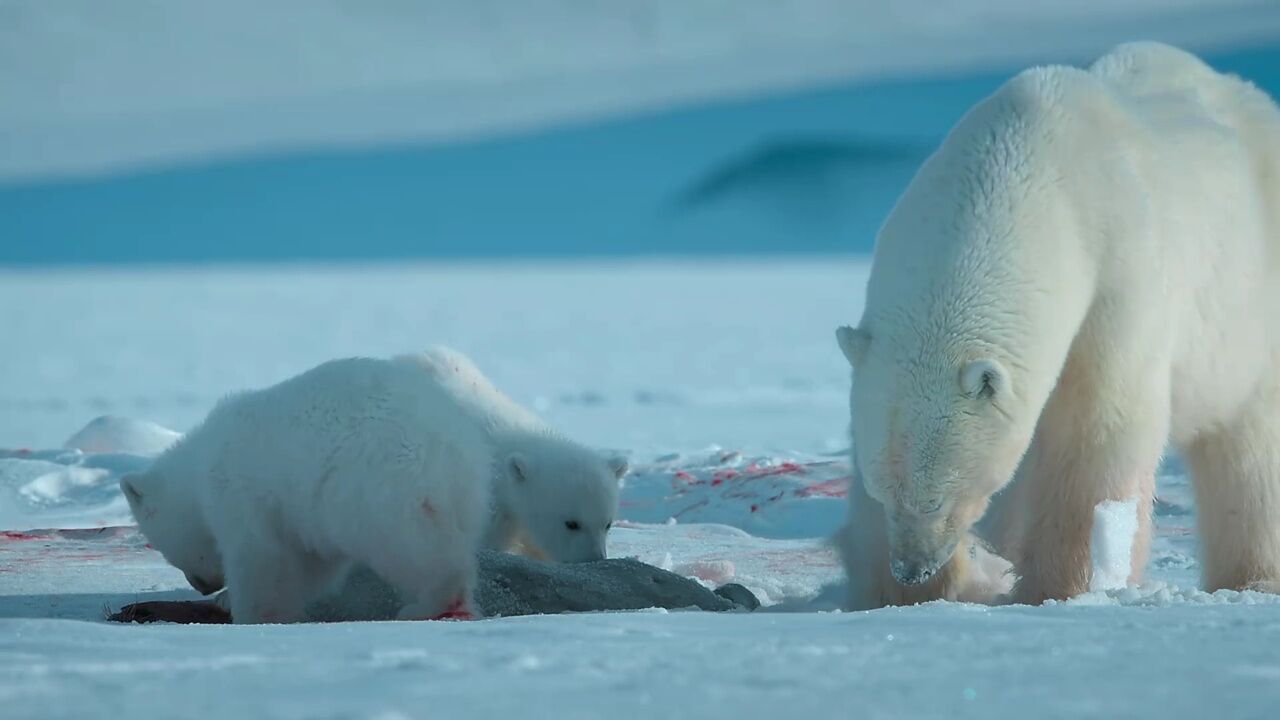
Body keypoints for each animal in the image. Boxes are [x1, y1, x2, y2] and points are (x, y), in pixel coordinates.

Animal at [123, 356, 494, 620]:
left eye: (162, 547)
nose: (201, 586)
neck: (201, 463)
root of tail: (447, 445)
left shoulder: (241, 493)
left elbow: (260, 556)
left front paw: (244, 609)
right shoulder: (302, 515)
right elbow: (309, 564)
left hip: (378, 484)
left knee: (413, 547)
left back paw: (426, 604)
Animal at [834, 41, 1280, 607]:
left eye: (938, 498)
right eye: (885, 492)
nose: (912, 567)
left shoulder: (1117, 277)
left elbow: (1096, 429)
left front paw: (1060, 585)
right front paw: (890, 590)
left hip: (1247, 316)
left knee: (1249, 452)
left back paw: (1252, 577)